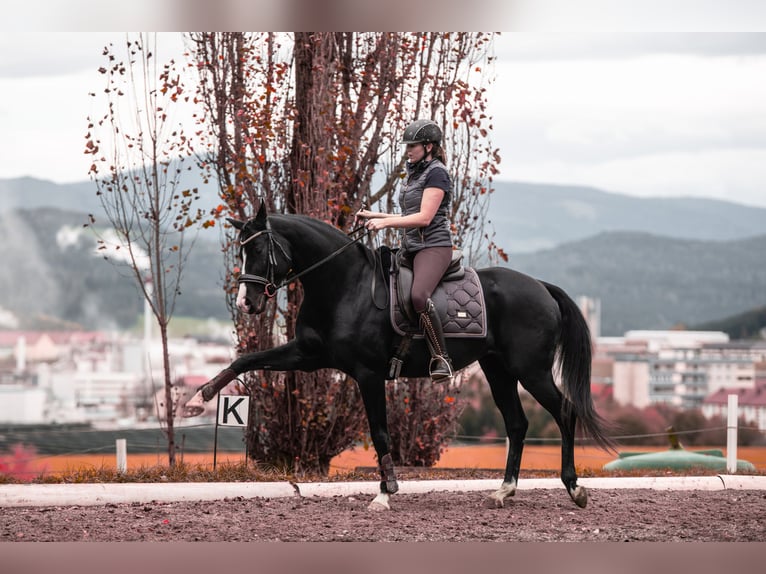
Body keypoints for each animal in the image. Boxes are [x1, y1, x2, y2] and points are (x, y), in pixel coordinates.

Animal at [183, 202, 614, 510]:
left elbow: (380, 431)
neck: (344, 284)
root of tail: (541, 287)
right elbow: (245, 361)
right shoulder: (307, 355)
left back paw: (574, 488)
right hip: (499, 370)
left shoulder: (368, 374)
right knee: (517, 423)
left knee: (564, 412)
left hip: (531, 370)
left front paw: (385, 491)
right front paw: (196, 399)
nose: (247, 302)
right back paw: (504, 491)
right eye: (241, 251)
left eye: (258, 248)